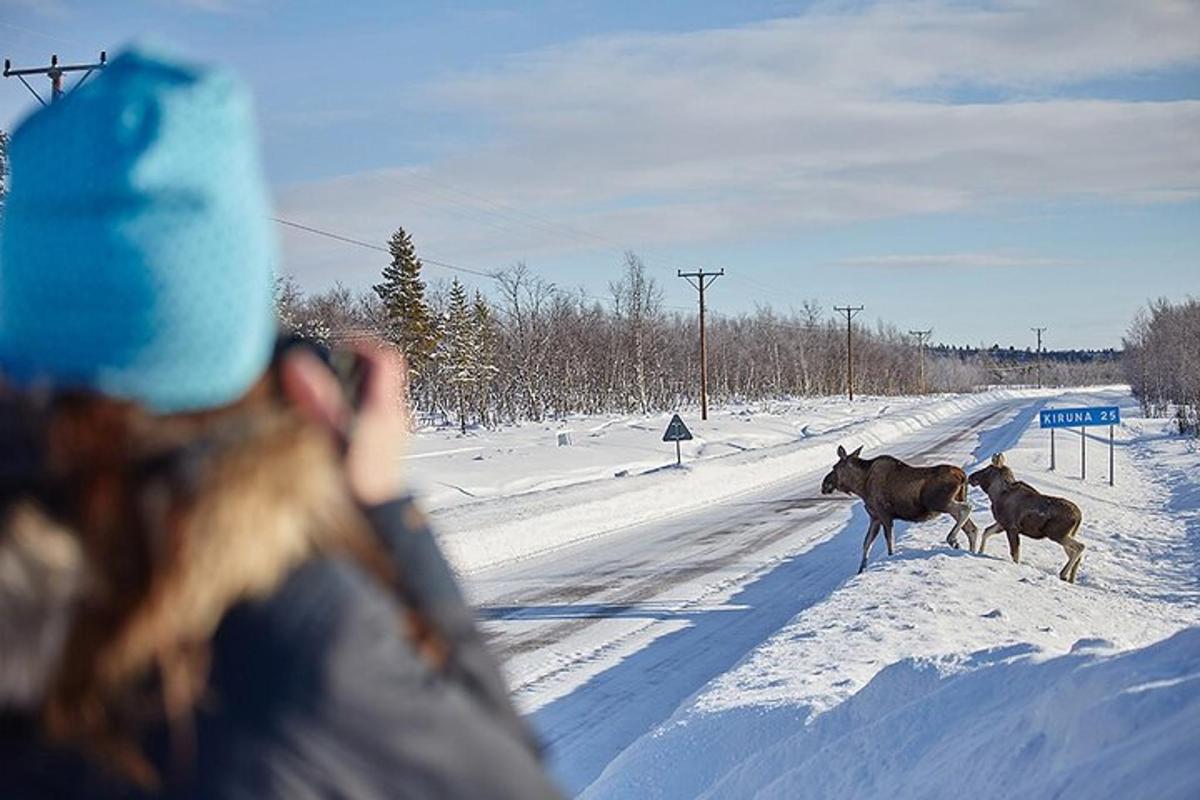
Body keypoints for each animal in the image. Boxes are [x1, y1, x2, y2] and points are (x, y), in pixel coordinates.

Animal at [820, 443, 979, 575]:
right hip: (953, 499)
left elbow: (890, 543)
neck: (860, 486)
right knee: (971, 528)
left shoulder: (884, 515)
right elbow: (866, 544)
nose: (824, 484)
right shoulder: (875, 518)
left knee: (966, 509)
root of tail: (962, 475)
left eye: (834, 467)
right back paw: (971, 552)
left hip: (938, 502)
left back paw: (953, 539)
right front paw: (860, 570)